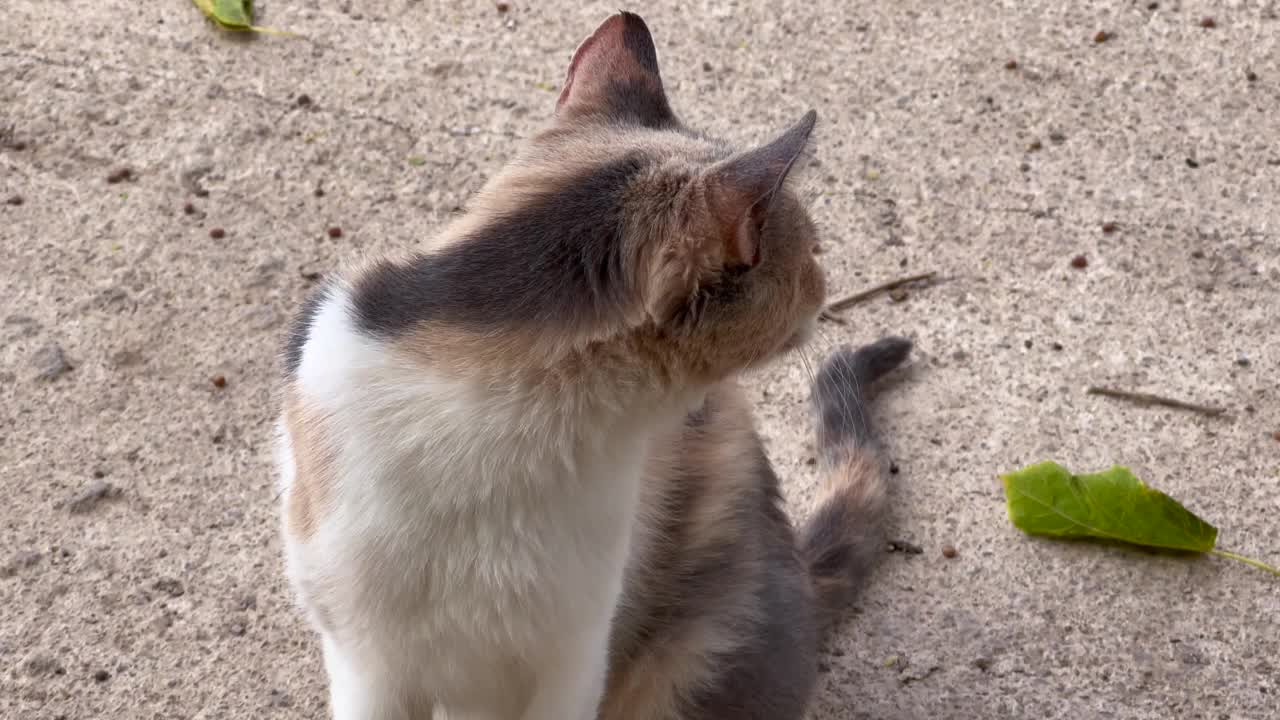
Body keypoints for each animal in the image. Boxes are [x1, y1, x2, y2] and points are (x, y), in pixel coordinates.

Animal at [279, 11, 911, 717]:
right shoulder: (367, 662)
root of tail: (799, 568)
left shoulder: (575, 655)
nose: (828, 282)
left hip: (690, 653)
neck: (486, 415)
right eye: (814, 252)